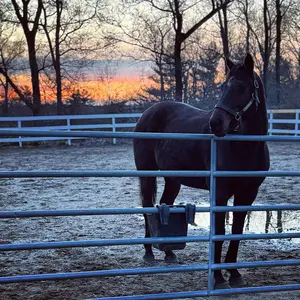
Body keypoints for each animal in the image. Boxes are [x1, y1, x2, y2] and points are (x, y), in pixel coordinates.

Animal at [134, 53, 270, 288]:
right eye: (224, 86)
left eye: (242, 87)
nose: (215, 123)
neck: (245, 146)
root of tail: (147, 114)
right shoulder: (220, 193)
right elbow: (220, 231)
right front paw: (218, 278)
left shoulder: (248, 193)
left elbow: (237, 230)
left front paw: (234, 274)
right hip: (147, 174)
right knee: (147, 207)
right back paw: (149, 252)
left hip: (173, 179)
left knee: (164, 204)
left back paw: (169, 253)